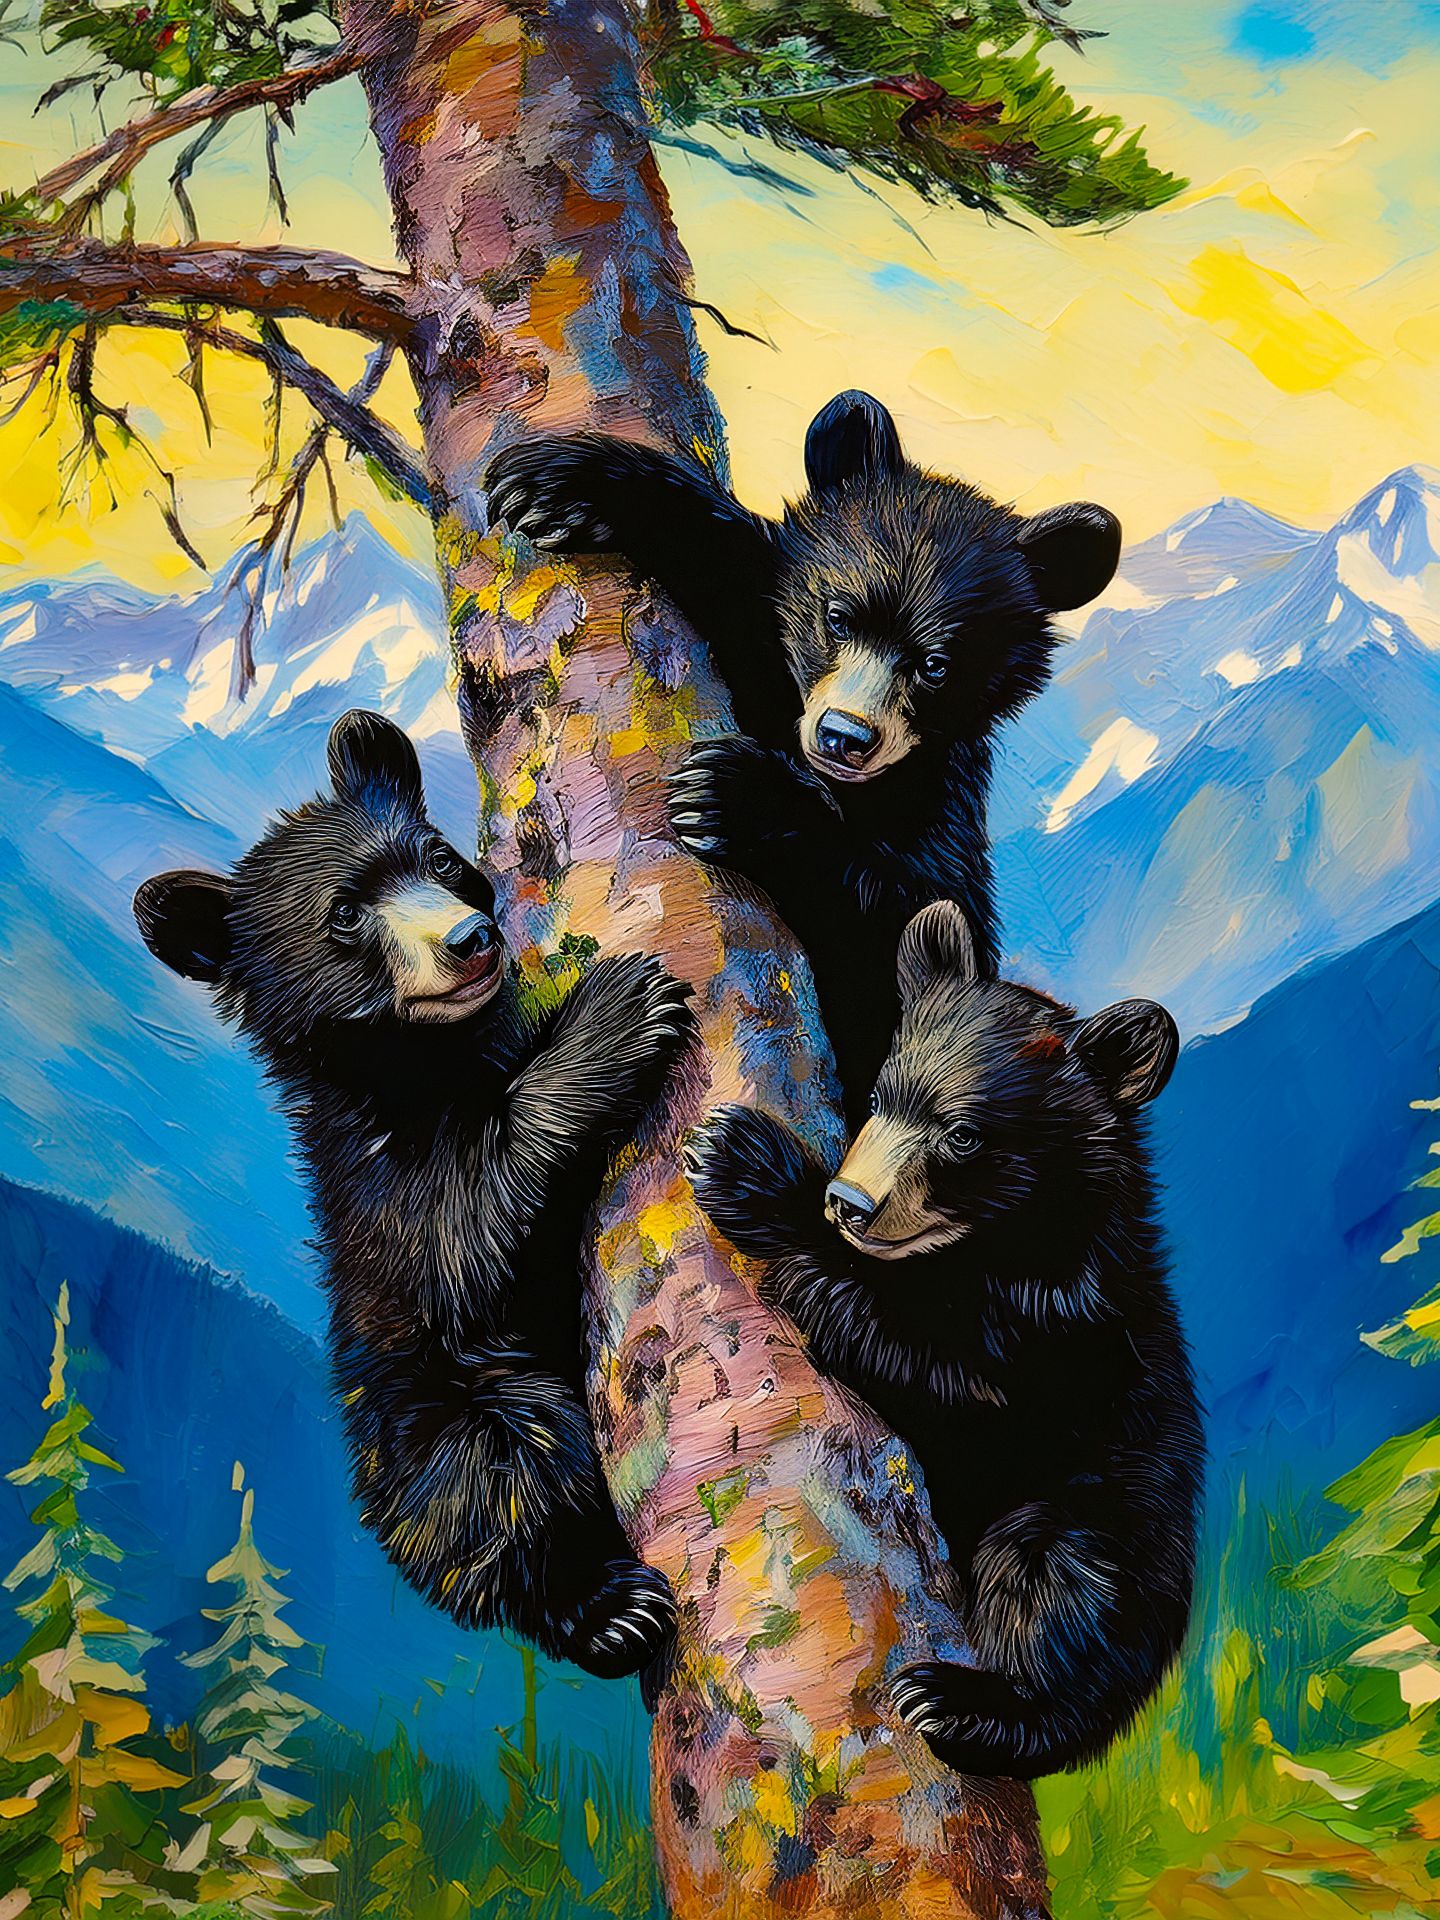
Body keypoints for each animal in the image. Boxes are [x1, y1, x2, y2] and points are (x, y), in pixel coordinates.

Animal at [134, 709, 694, 1681]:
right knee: (511, 1479)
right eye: (346, 913)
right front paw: (619, 1011)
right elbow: (467, 1229)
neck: (432, 1065)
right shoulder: (380, 1181)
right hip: (439, 1421)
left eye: (435, 857)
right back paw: (604, 1611)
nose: (469, 939)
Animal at [485, 393, 1121, 1121]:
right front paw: (558, 483)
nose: (846, 735)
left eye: (936, 665)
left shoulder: (942, 814)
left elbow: (904, 926)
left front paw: (733, 797)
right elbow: (732, 566)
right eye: (838, 618)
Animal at [684, 900, 1201, 1779]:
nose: (850, 1201)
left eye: (962, 1134)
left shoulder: (1062, 1330)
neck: (997, 1247)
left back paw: (966, 1704)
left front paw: (750, 1168)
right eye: (879, 1095)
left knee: (1054, 1591)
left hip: (1102, 1522)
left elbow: (957, 1381)